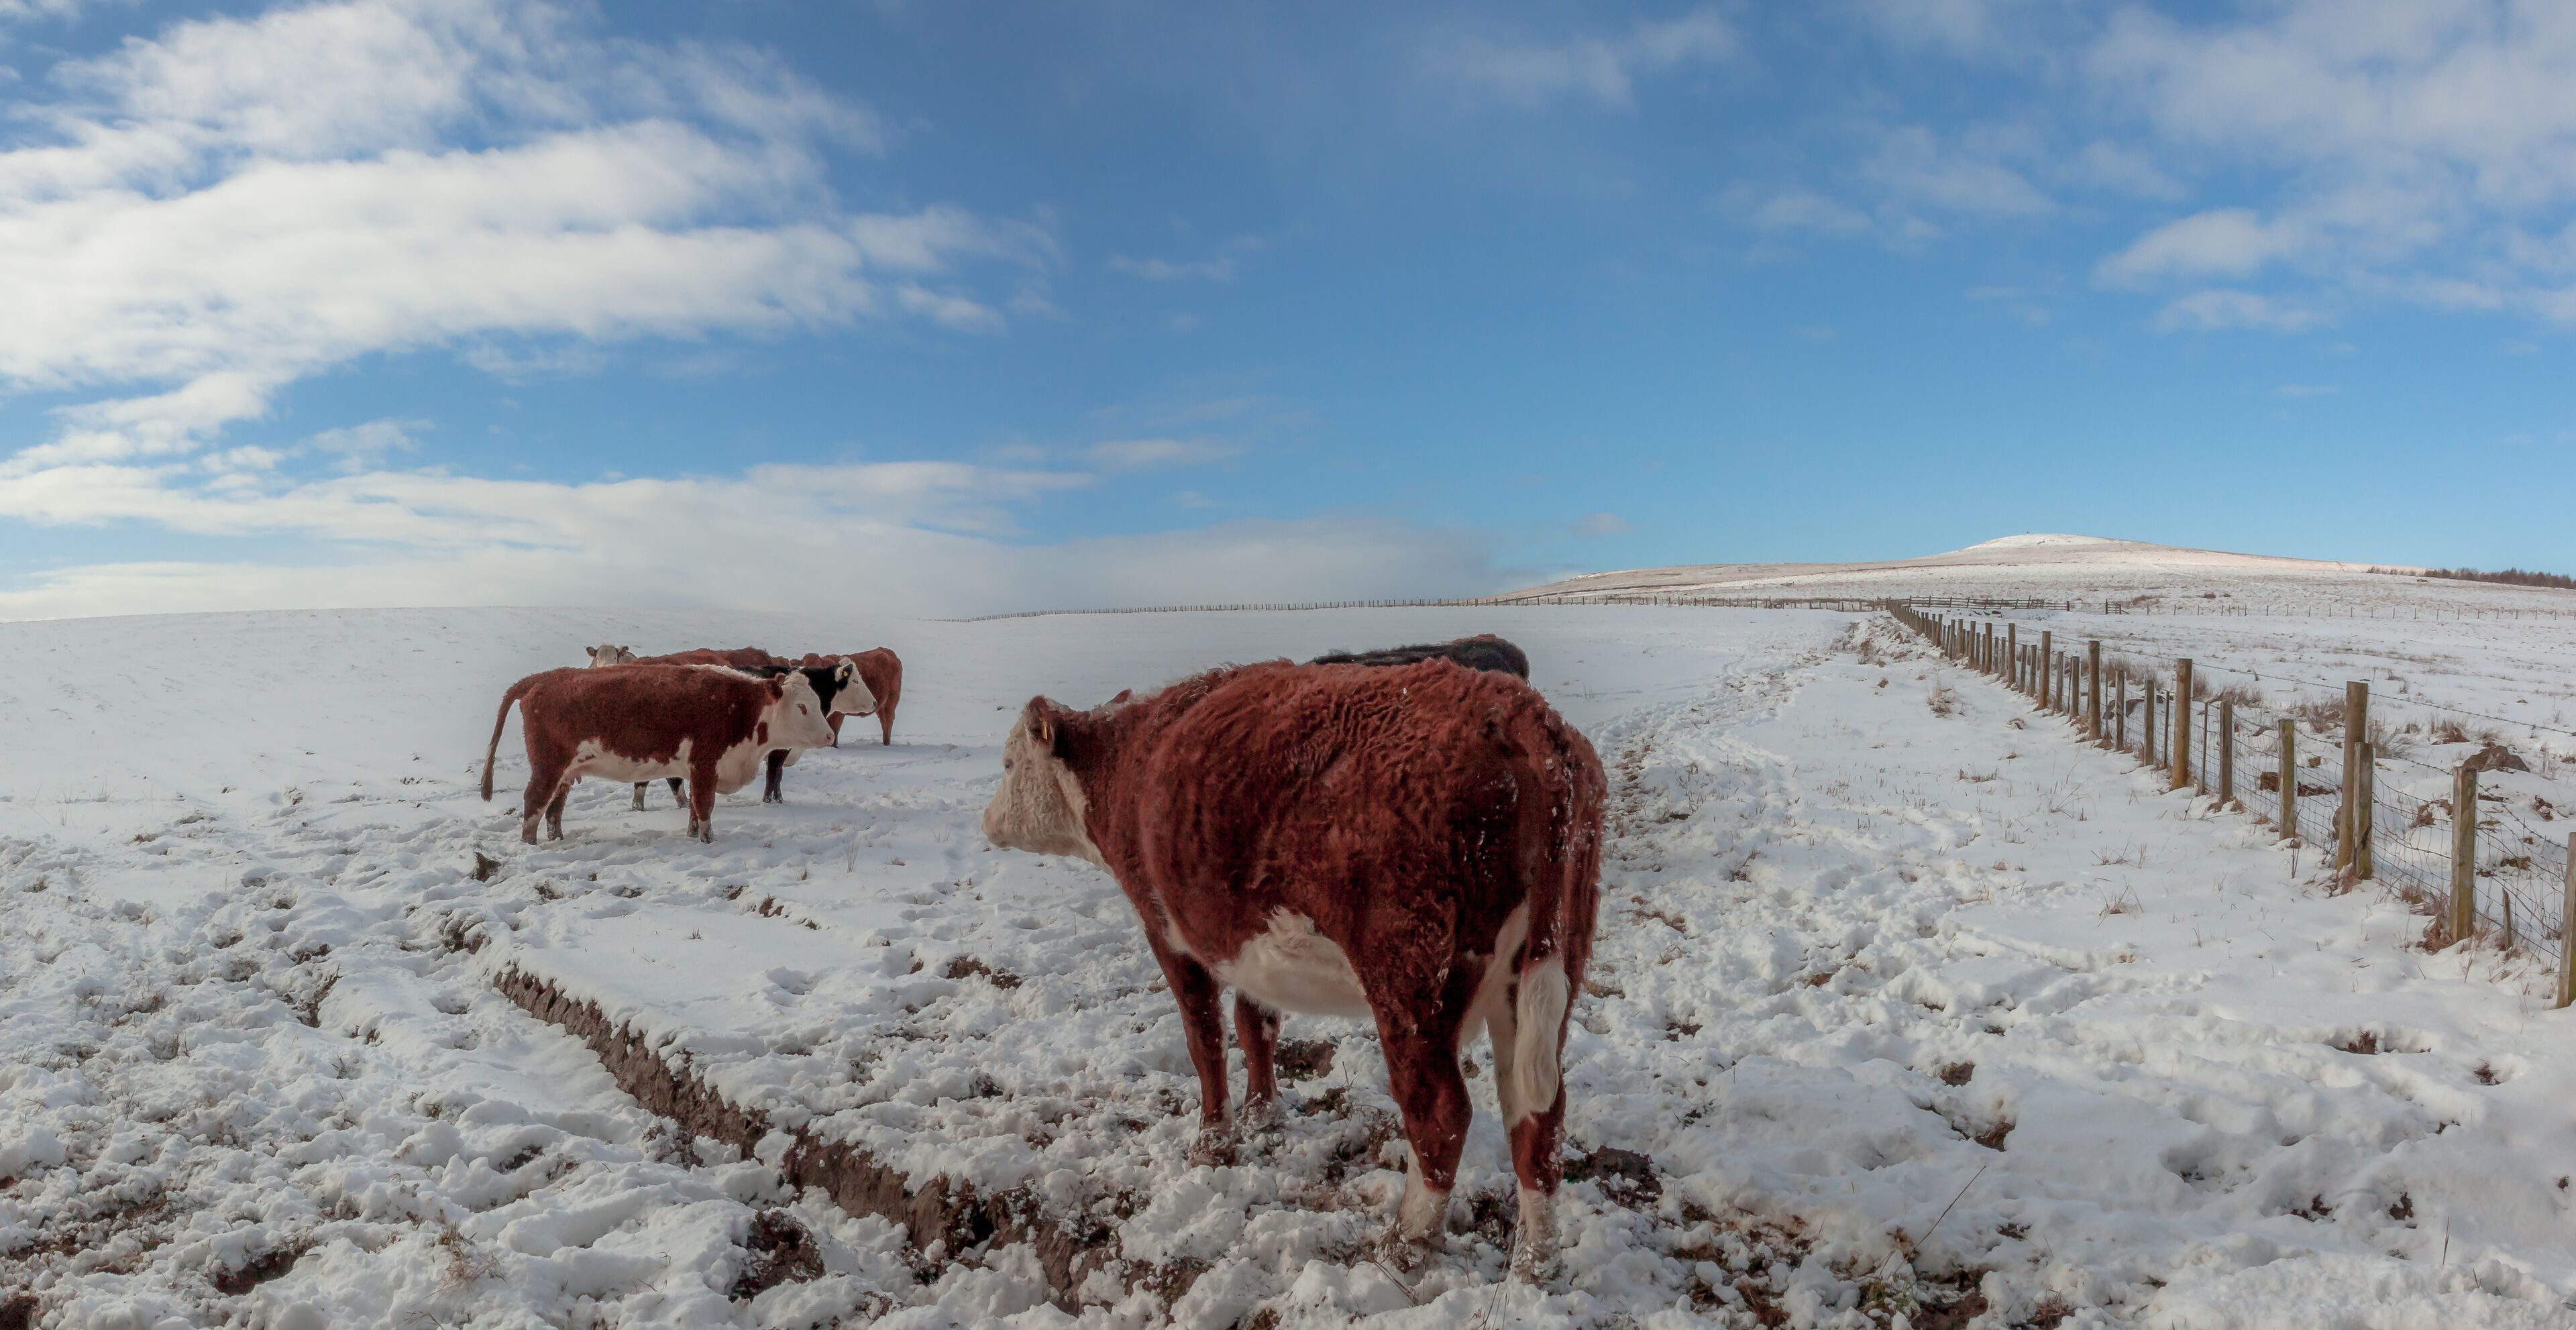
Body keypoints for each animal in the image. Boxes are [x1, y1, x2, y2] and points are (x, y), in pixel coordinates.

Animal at [481, 664, 839, 843]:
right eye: (802, 707)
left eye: (817, 702)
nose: (829, 735)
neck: (741, 708)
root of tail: (542, 678)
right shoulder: (706, 764)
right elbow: (705, 806)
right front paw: (707, 839)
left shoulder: (698, 770)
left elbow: (694, 807)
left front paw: (693, 834)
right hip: (548, 765)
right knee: (534, 802)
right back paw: (530, 843)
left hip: (566, 770)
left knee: (555, 808)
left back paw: (557, 837)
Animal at [979, 658, 1604, 1279]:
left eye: (1008, 763)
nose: (986, 821)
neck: (1130, 762)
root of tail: (1512, 705)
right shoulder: (1246, 942)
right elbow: (1256, 1024)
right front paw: (1263, 1114)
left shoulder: (1167, 930)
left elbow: (1204, 1038)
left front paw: (1213, 1140)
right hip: (1545, 969)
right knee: (1538, 1117)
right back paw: (1535, 1258)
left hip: (1408, 978)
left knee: (1441, 1112)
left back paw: (1404, 1246)